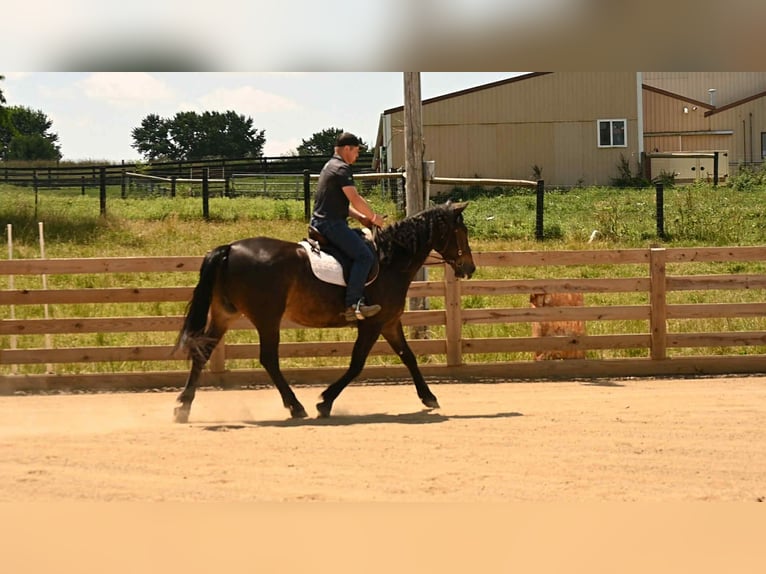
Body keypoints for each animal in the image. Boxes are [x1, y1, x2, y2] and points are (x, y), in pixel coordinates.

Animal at [173, 201, 476, 422]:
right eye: (461, 232)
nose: (469, 268)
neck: (391, 260)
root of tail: (230, 248)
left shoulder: (389, 323)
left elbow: (409, 357)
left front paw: (429, 397)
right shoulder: (372, 323)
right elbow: (356, 364)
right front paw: (325, 402)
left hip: (224, 315)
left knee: (203, 353)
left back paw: (183, 407)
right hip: (267, 318)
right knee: (268, 359)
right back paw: (296, 407)